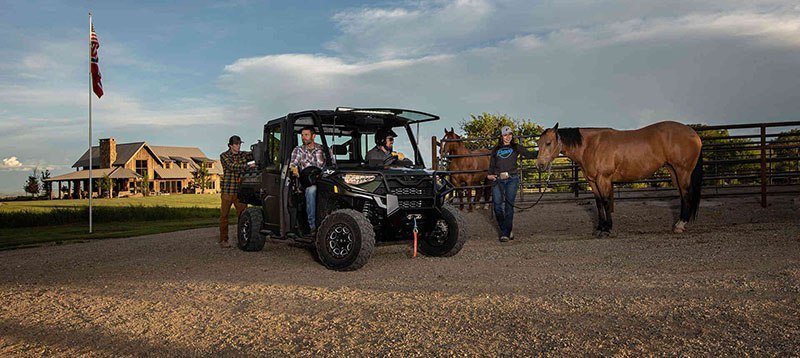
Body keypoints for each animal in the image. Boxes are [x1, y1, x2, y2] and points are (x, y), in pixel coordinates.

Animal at [536, 121, 700, 236]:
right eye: (538, 143)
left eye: (548, 143)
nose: (540, 165)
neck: (591, 145)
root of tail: (693, 134)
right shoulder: (592, 181)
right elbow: (599, 203)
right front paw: (600, 227)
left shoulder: (603, 179)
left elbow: (606, 202)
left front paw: (607, 229)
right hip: (674, 171)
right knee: (682, 195)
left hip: (683, 171)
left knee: (686, 195)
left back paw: (680, 225)